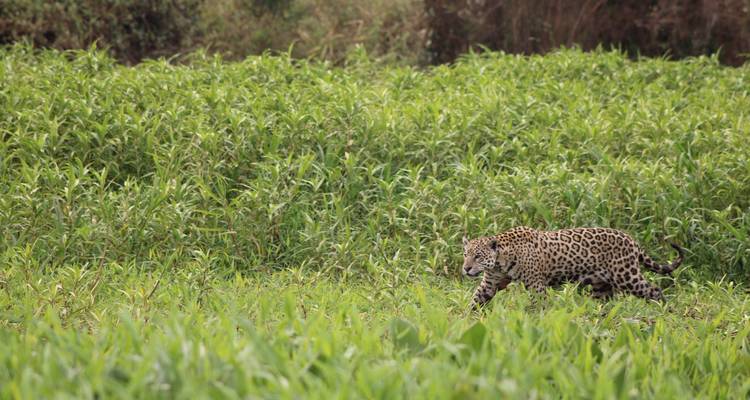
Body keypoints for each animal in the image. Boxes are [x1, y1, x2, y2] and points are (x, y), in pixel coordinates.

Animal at [462, 226, 685, 308]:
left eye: (478, 256)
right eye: (465, 255)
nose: (466, 269)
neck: (500, 261)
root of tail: (631, 239)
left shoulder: (536, 284)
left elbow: (539, 305)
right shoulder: (490, 282)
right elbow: (476, 299)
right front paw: (465, 322)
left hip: (626, 276)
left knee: (654, 289)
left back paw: (664, 310)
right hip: (602, 285)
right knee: (605, 301)